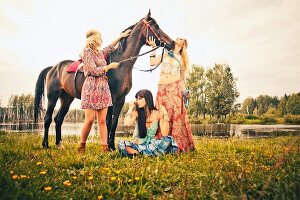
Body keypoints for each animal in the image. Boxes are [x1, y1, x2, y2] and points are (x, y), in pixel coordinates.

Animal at [34, 10, 175, 149]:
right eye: (155, 26)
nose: (172, 43)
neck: (122, 63)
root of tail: (53, 68)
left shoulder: (121, 99)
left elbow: (114, 122)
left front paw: (112, 145)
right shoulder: (111, 98)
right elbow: (108, 122)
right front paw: (108, 146)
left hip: (67, 98)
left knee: (58, 119)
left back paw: (59, 144)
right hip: (53, 96)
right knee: (47, 118)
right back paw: (45, 144)